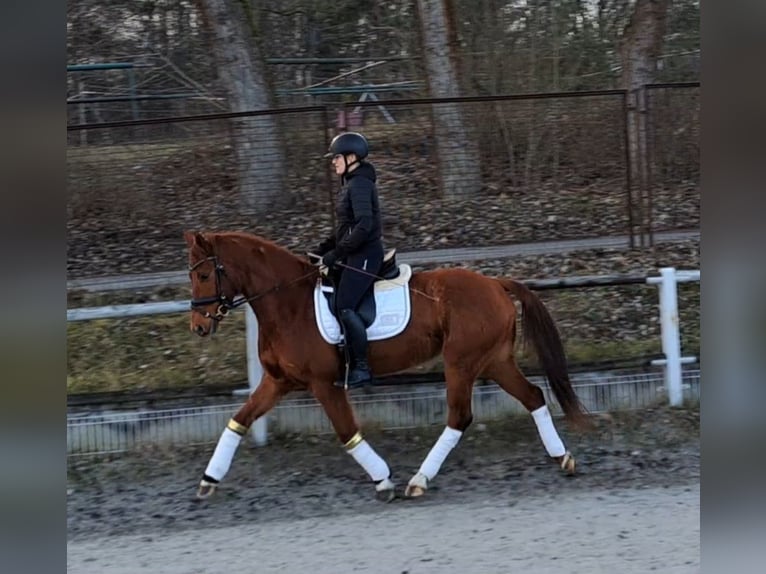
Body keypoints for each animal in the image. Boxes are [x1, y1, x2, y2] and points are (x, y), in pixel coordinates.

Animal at [184, 232, 588, 502]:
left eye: (203, 275)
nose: (198, 327)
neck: (288, 304)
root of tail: (494, 282)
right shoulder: (278, 381)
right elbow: (239, 420)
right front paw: (208, 479)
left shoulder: (323, 384)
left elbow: (347, 432)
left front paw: (383, 480)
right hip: (494, 361)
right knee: (533, 396)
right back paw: (563, 458)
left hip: (462, 363)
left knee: (460, 416)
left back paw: (419, 480)